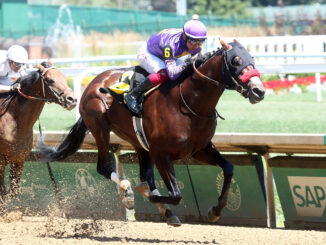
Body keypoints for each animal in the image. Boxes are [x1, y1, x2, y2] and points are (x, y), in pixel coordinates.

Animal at [0, 61, 76, 203]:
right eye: (51, 80)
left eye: (64, 77)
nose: (72, 99)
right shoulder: (0, 162)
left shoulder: (19, 160)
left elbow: (13, 191)